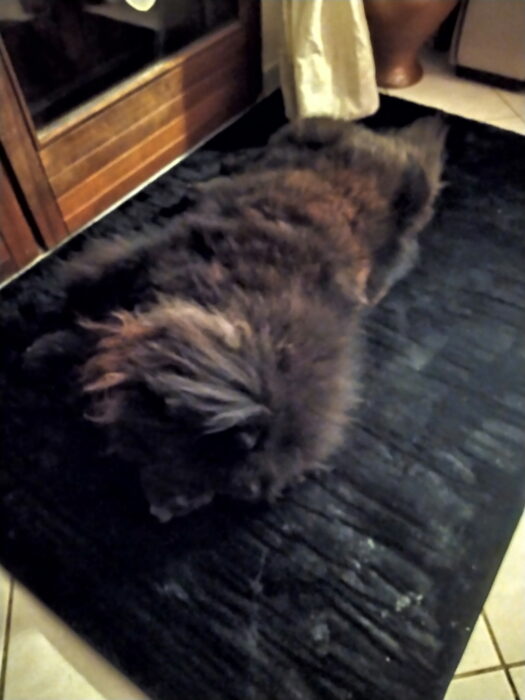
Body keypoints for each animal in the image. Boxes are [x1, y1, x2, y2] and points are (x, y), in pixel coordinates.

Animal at [25, 116, 446, 522]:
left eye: (225, 493)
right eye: (208, 462)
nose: (165, 514)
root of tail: (399, 148)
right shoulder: (145, 259)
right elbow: (92, 300)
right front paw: (44, 347)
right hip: (296, 139)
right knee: (251, 154)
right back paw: (203, 180)